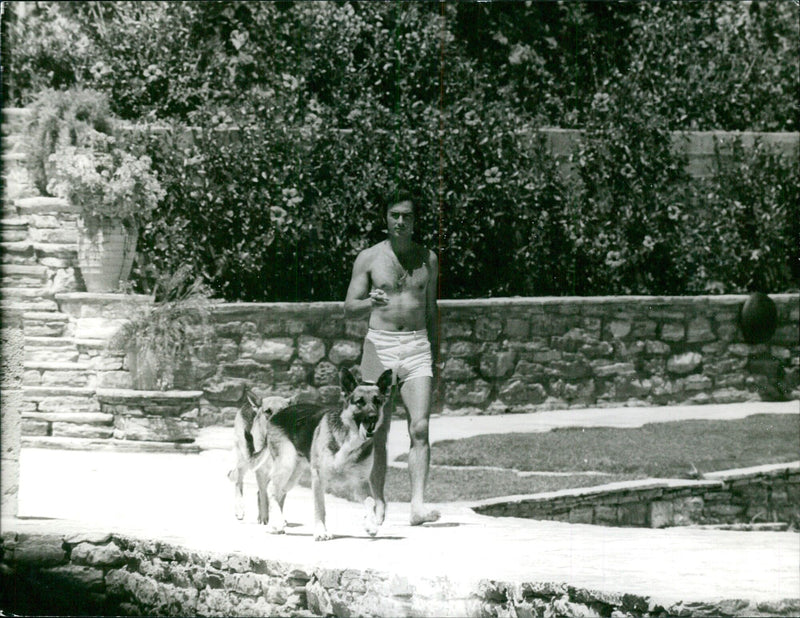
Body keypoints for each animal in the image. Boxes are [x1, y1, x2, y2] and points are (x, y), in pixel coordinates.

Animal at [230, 366, 392, 540]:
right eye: (359, 401)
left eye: (377, 401)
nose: (373, 417)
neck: (348, 437)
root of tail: (278, 416)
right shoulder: (319, 478)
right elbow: (320, 508)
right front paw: (321, 531)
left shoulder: (359, 482)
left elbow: (370, 501)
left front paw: (371, 525)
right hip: (284, 464)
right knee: (269, 490)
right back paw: (273, 521)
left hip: (293, 475)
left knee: (278, 493)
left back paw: (277, 523)